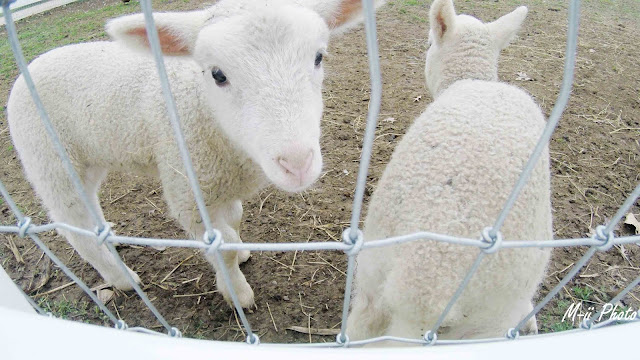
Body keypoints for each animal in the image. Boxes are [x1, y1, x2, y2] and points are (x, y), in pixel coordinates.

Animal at [7, 0, 384, 310]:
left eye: (319, 57)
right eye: (217, 74)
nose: (297, 164)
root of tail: (30, 66)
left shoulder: (221, 180)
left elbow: (234, 221)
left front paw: (241, 251)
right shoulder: (187, 189)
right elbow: (222, 245)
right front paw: (236, 292)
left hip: (87, 160)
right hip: (48, 157)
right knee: (73, 225)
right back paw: (121, 278)